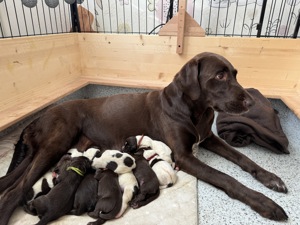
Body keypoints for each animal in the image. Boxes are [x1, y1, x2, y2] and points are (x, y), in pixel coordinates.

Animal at [0, 51, 288, 224]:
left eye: (235, 74)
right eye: (220, 75)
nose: (252, 101)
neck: (195, 110)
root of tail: (38, 118)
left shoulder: (208, 138)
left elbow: (243, 159)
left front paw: (271, 179)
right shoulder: (184, 156)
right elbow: (227, 178)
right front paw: (265, 203)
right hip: (56, 143)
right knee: (14, 190)